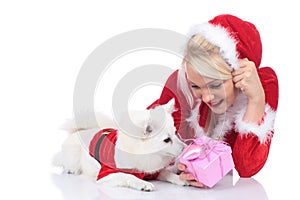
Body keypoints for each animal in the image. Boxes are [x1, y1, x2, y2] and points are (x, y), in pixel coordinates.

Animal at [52, 99, 186, 191]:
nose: (185, 147)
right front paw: (143, 184)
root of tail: (78, 131)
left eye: (175, 133)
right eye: (167, 140)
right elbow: (127, 176)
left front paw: (179, 179)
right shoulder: (106, 175)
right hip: (73, 156)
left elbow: (166, 173)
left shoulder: (150, 170)